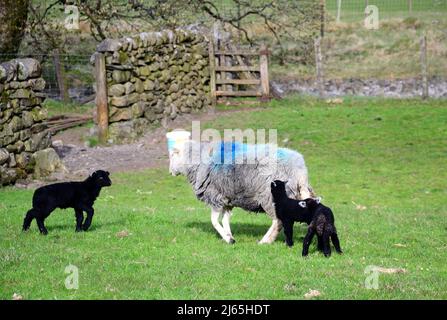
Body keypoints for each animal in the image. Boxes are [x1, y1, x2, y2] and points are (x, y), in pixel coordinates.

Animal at [169, 141, 316, 245]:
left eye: (172, 155)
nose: (170, 172)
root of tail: (299, 171)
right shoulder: (227, 200)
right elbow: (225, 220)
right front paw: (229, 237)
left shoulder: (216, 197)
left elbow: (214, 221)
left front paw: (228, 239)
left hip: (270, 197)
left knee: (278, 221)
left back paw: (265, 241)